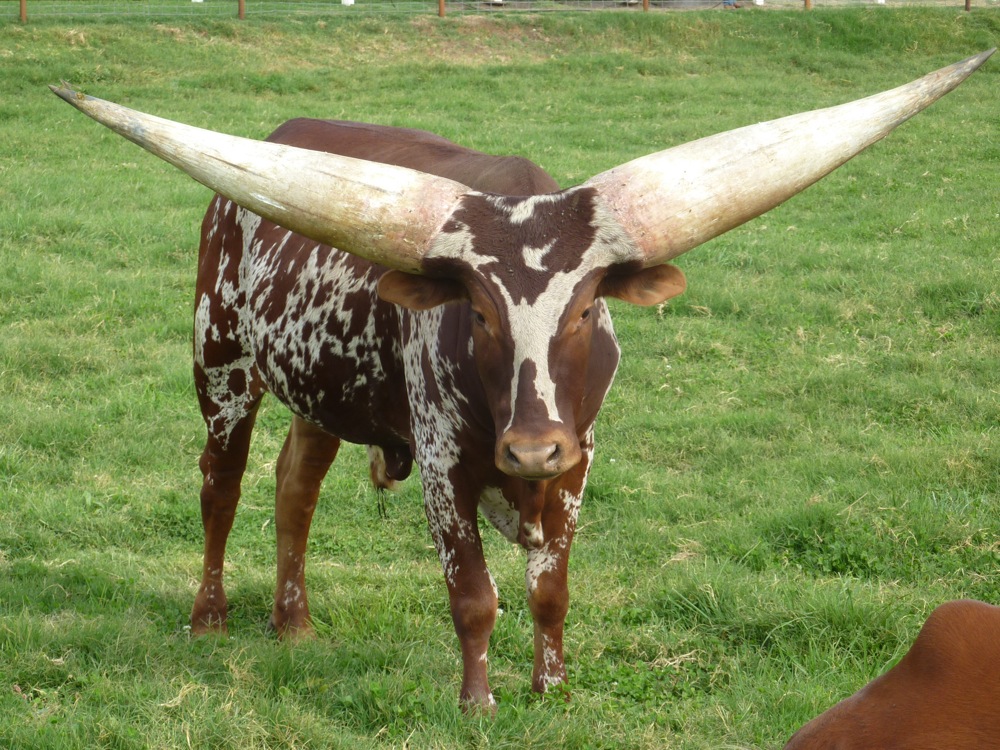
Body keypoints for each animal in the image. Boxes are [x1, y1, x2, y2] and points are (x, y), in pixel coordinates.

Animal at [52, 49, 992, 711]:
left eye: (585, 310)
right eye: (478, 312)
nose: (531, 446)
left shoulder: (580, 463)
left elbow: (550, 591)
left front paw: (552, 689)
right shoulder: (442, 465)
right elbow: (474, 593)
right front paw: (478, 702)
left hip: (321, 386)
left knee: (294, 488)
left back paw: (297, 625)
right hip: (221, 359)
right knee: (221, 483)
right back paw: (210, 616)